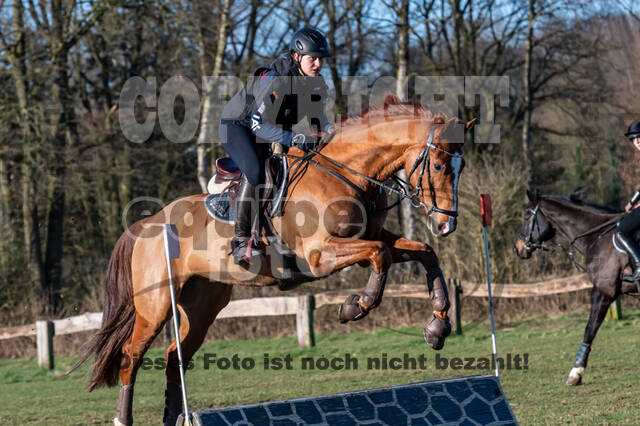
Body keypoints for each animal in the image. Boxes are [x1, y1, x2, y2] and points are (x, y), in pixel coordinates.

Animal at [74, 95, 476, 424]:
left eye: (461, 167)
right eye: (438, 166)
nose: (446, 224)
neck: (347, 173)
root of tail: (146, 222)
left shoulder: (370, 241)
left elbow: (422, 253)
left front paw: (438, 326)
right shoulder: (320, 254)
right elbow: (380, 257)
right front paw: (355, 306)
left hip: (202, 305)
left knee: (175, 359)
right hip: (156, 305)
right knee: (131, 355)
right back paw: (122, 418)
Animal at [516, 190, 640, 386]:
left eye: (527, 216)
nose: (518, 248)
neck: (597, 237)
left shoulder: (602, 292)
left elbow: (589, 329)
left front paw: (576, 372)